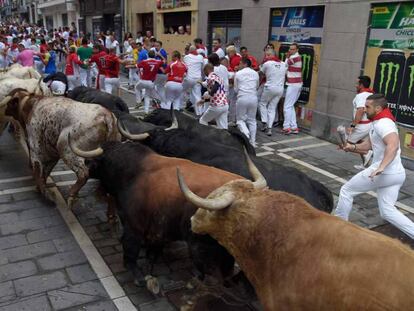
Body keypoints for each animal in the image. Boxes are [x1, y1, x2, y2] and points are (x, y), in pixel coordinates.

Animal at [69, 141, 262, 282]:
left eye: (98, 161)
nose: (86, 164)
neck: (134, 171)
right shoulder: (158, 228)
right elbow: (151, 251)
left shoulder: (133, 224)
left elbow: (130, 250)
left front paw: (141, 278)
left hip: (203, 250)